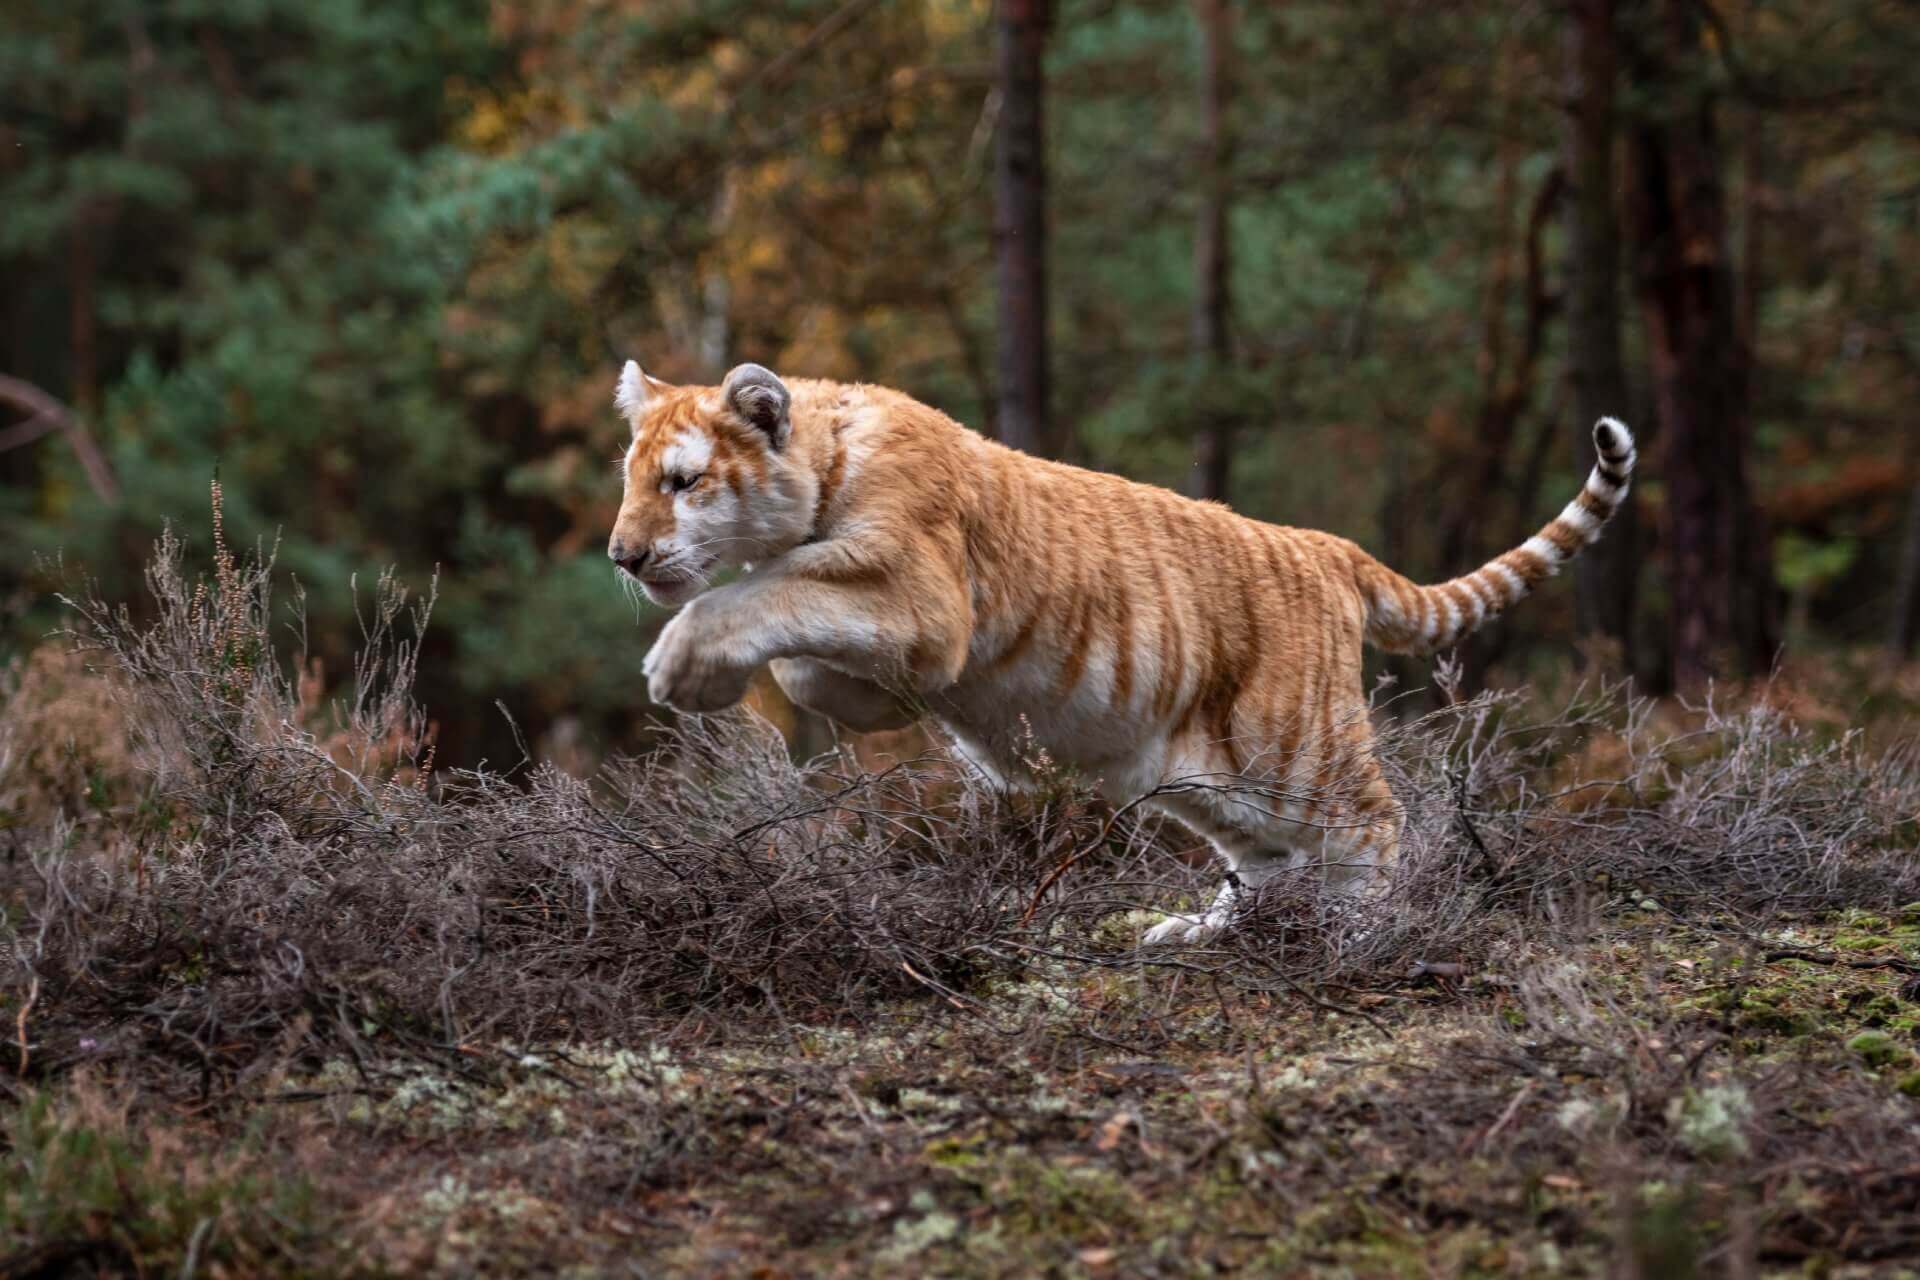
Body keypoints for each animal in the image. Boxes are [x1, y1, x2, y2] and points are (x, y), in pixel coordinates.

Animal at [610, 360, 1635, 940]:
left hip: (1293, 749)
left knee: (1375, 822)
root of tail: (1327, 544)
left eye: (683, 481)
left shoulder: (917, 597)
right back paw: (1195, 932)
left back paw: (1361, 931)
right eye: (633, 479)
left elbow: (761, 593)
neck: (821, 467)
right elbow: (798, 643)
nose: (623, 556)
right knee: (1268, 864)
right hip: (1203, 778)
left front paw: (681, 669)